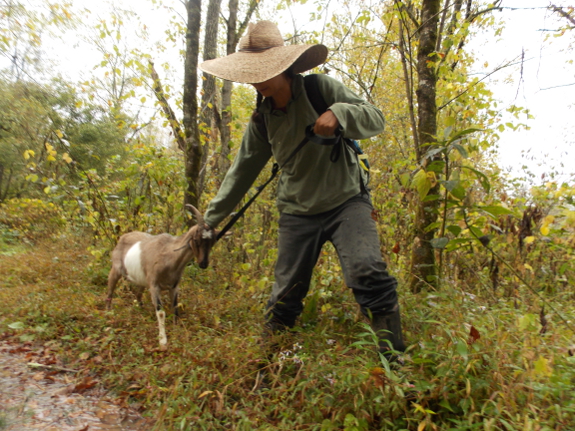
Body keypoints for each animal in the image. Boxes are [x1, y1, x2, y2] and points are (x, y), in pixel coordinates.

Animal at [106, 204, 218, 350]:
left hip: (143, 279)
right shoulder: (154, 286)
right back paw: (108, 313)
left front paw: (176, 330)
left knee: (138, 294)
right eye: (196, 240)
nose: (203, 264)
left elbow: (175, 307)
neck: (169, 256)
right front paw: (163, 341)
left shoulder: (174, 286)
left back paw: (141, 309)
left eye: (212, 242)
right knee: (110, 289)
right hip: (116, 269)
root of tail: (122, 237)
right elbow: (160, 312)